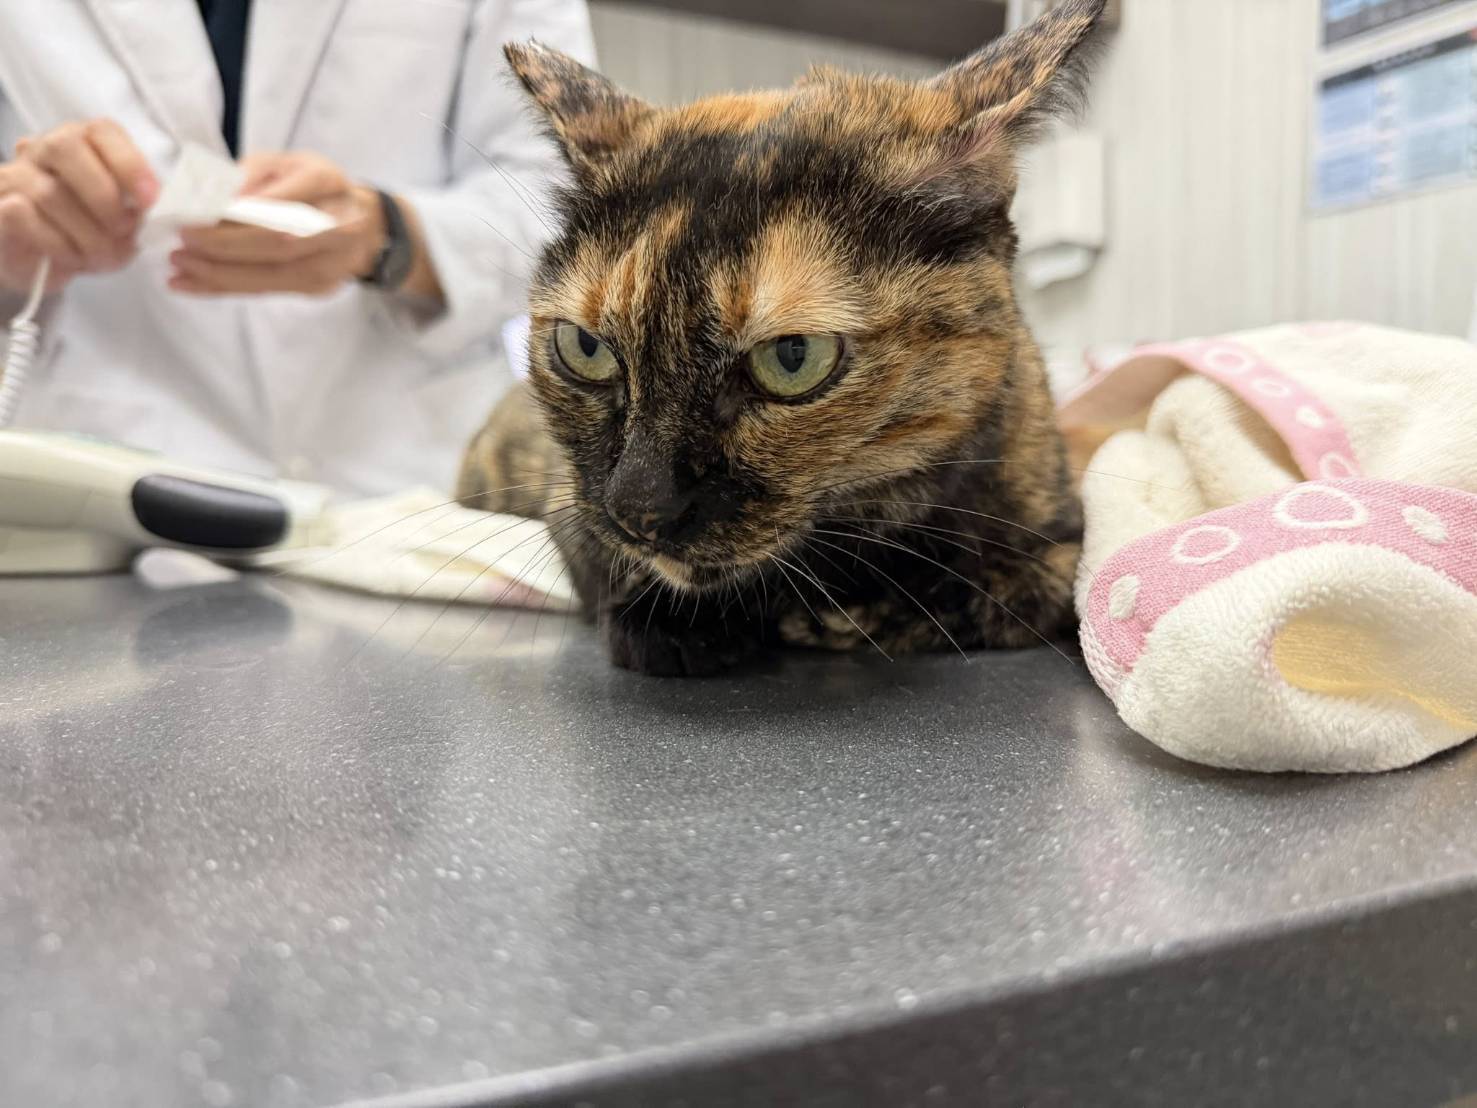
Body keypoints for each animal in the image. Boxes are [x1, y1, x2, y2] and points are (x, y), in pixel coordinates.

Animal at [458, 0, 1105, 676]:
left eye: (793, 359)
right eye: (584, 349)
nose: (639, 508)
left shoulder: (1061, 543)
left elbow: (1004, 589)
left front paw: (864, 614)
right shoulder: (568, 504)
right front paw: (678, 623)